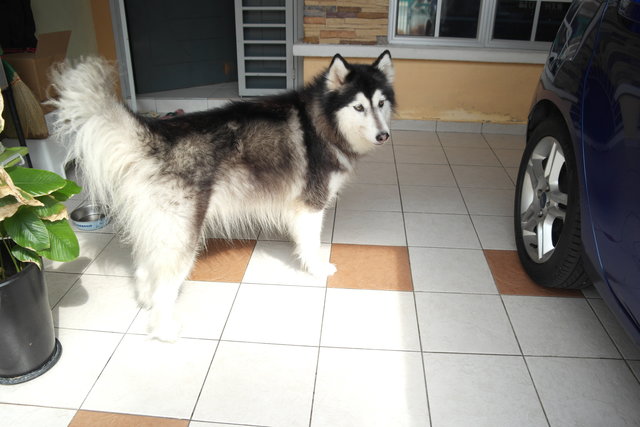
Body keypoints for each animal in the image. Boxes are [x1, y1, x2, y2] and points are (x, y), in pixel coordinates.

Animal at [52, 50, 396, 342]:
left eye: (380, 103)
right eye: (359, 107)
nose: (384, 136)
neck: (321, 121)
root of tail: (156, 136)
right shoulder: (311, 205)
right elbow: (311, 244)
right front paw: (318, 269)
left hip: (160, 229)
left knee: (144, 268)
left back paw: (147, 302)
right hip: (182, 234)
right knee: (165, 284)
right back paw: (165, 330)